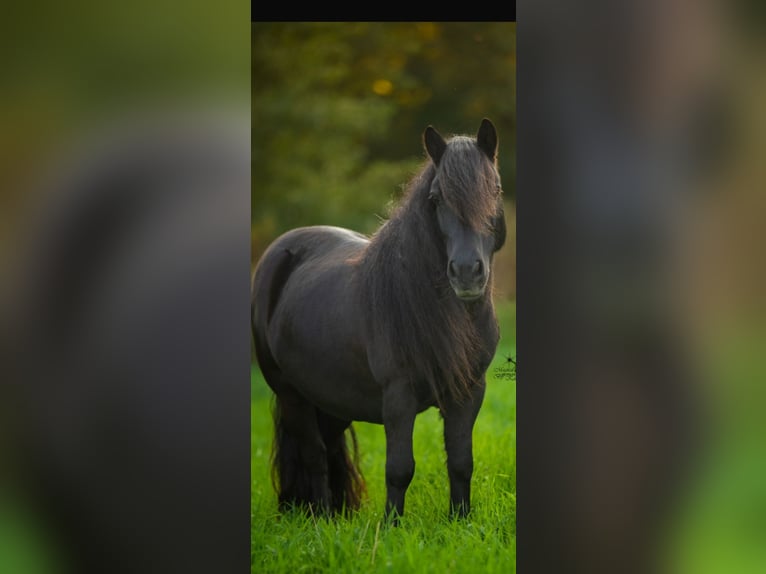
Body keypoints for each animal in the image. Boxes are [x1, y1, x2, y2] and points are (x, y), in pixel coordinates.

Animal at [250, 118, 510, 520]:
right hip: (291, 393)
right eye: (436, 199)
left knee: (329, 448)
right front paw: (391, 526)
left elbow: (461, 462)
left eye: (495, 189)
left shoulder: (469, 392)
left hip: (330, 396)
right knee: (314, 456)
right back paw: (322, 518)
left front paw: (461, 520)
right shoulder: (398, 395)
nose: (467, 272)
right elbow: (400, 468)